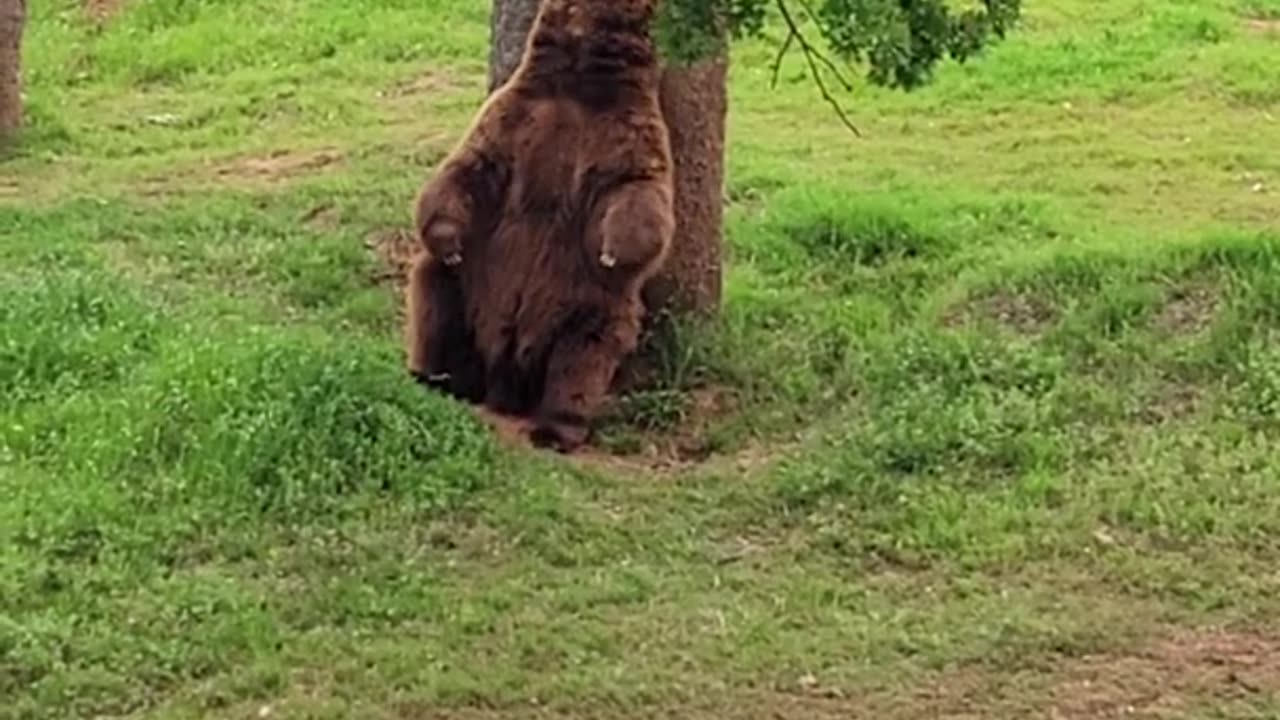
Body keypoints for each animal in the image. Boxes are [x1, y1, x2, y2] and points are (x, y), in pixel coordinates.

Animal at [404, 0, 675, 450]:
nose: (451, 245)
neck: (577, 81)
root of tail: (507, 379)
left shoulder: (626, 130)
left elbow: (638, 189)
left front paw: (615, 252)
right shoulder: (513, 116)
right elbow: (468, 167)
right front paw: (447, 238)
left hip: (586, 300)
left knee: (584, 351)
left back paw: (557, 426)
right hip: (474, 281)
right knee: (437, 296)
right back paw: (436, 377)